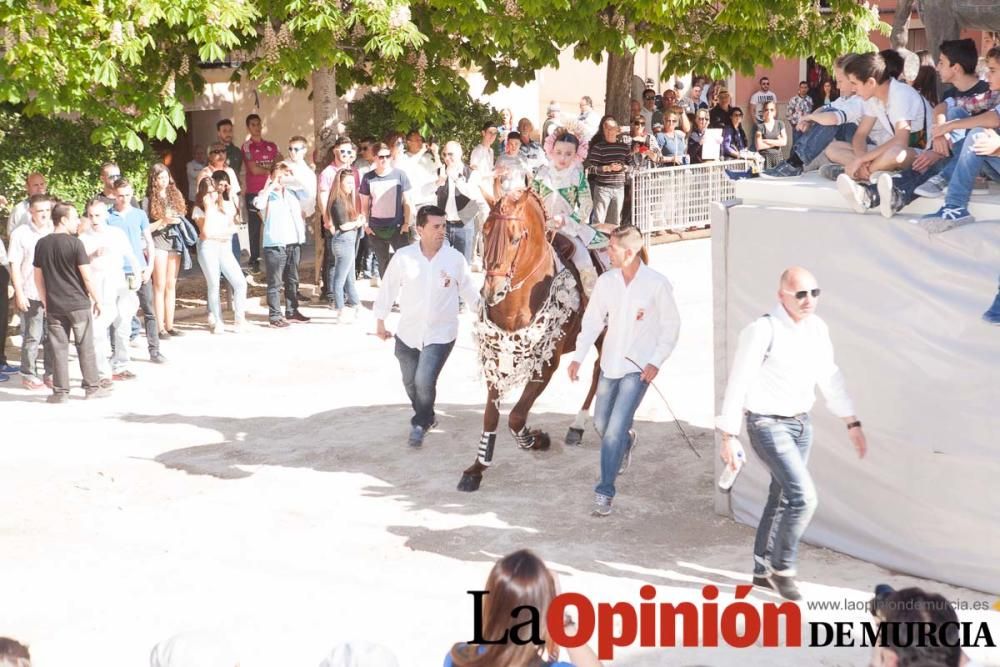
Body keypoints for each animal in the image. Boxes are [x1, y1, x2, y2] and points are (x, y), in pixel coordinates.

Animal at [458, 190, 604, 494]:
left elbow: (516, 417)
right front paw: (477, 468)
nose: (493, 292)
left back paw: (579, 424)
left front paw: (536, 439)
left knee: (600, 371)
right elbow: (491, 415)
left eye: (515, 238)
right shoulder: (494, 360)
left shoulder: (546, 362)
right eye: (485, 233)